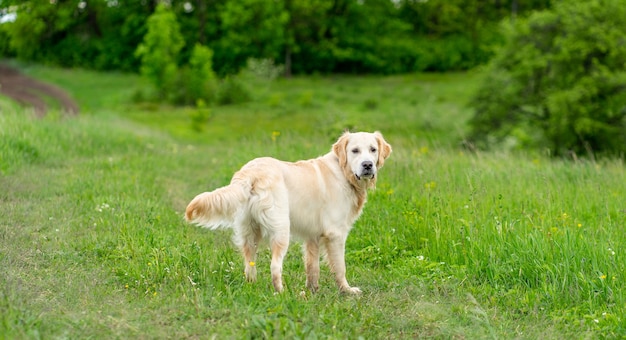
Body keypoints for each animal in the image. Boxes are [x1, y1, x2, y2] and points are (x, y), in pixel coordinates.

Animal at [184, 131, 390, 294]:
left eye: (373, 149)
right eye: (355, 151)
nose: (367, 165)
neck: (343, 171)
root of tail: (250, 173)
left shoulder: (313, 236)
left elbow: (312, 267)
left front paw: (312, 290)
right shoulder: (336, 234)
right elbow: (340, 267)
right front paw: (347, 290)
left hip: (249, 232)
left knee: (249, 264)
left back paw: (252, 287)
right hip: (282, 229)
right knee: (275, 266)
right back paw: (283, 293)